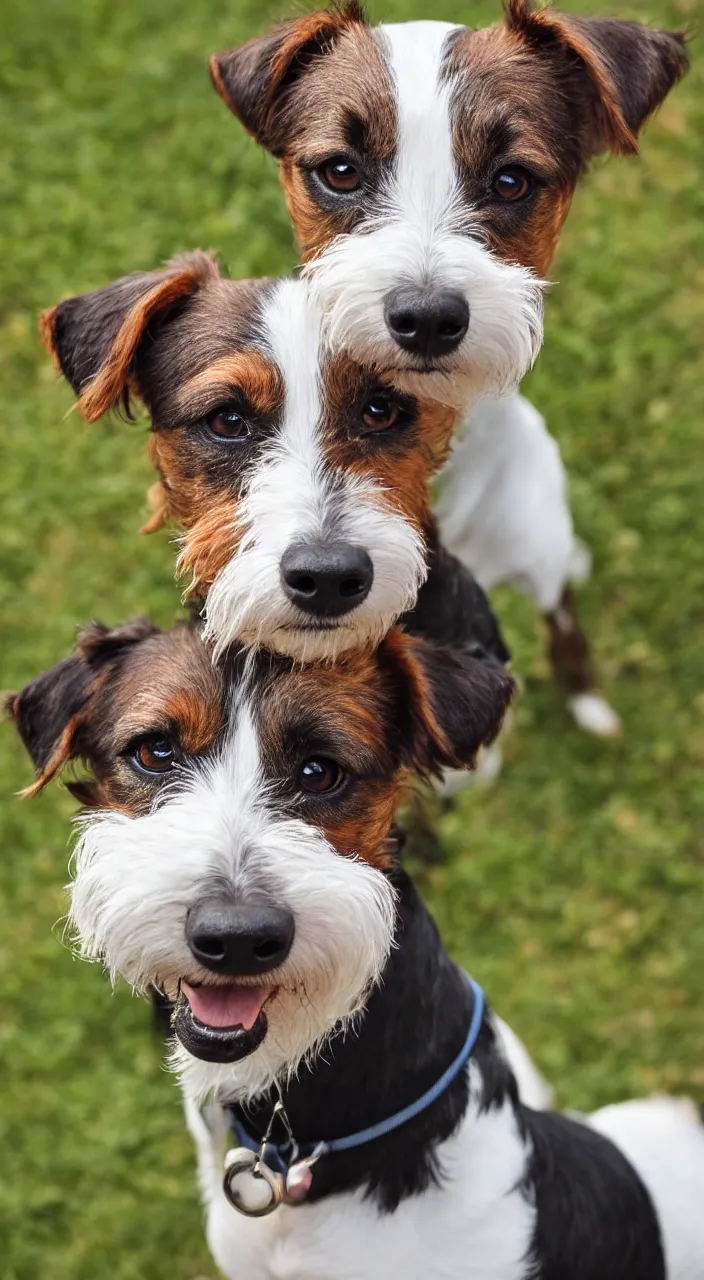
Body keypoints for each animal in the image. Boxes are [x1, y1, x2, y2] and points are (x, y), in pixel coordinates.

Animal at [209, 0, 691, 737]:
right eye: (340, 171)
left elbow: (566, 630)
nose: (427, 317)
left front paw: (588, 701)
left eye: (512, 179)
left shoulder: (538, 569)